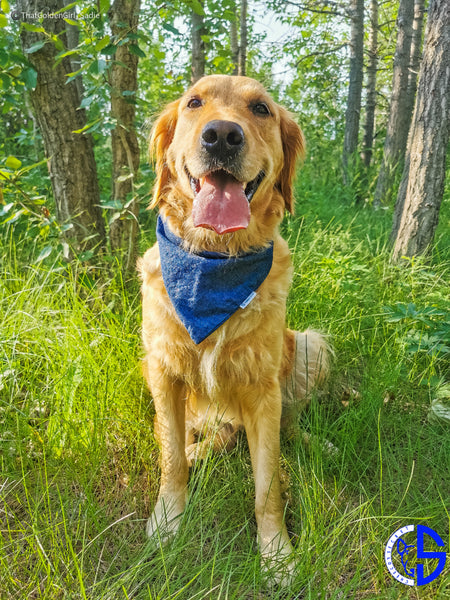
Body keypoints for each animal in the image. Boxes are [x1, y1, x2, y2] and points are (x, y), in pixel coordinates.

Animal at [139, 75, 328, 580]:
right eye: (194, 103)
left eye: (261, 108)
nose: (222, 135)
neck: (215, 259)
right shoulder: (163, 371)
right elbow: (171, 461)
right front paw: (167, 521)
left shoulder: (263, 390)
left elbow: (267, 487)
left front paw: (277, 554)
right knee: (194, 438)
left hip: (308, 345)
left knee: (285, 423)